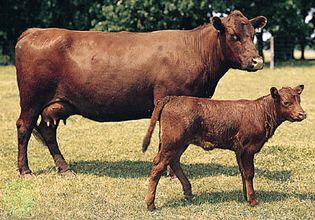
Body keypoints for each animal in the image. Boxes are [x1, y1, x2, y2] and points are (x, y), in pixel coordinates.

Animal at [143, 85, 306, 211]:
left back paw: (188, 193)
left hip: (179, 144)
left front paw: (246, 196)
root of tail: (172, 98)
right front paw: (253, 200)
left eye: (299, 100)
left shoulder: (239, 151)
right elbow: (249, 173)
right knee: (158, 165)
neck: (262, 112)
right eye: (286, 102)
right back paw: (150, 204)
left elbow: (243, 172)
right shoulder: (248, 149)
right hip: (172, 142)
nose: (302, 114)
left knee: (174, 162)